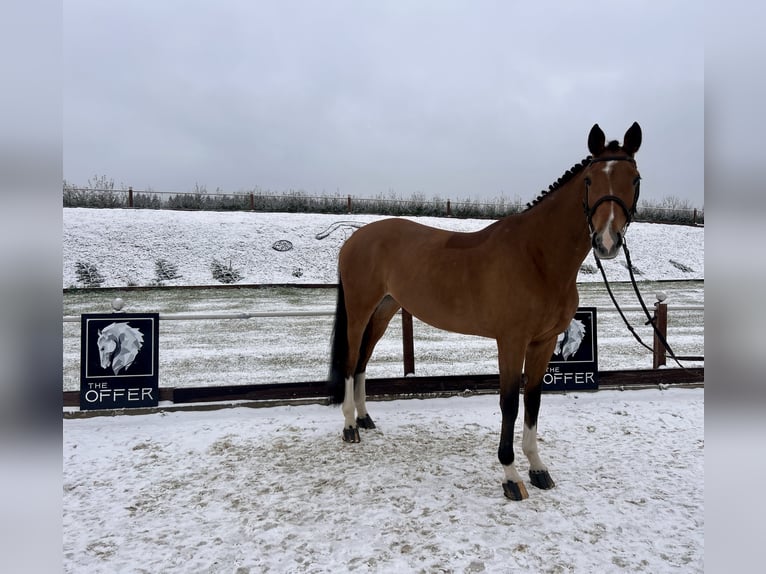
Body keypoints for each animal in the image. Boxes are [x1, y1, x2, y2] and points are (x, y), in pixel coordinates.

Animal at [328, 124, 640, 502]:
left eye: (635, 179)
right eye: (590, 180)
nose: (606, 241)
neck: (537, 256)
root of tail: (355, 238)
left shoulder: (543, 343)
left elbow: (533, 400)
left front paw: (538, 469)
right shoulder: (511, 342)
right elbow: (510, 403)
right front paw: (511, 476)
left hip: (385, 310)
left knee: (362, 361)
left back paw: (364, 419)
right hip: (360, 310)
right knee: (350, 360)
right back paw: (349, 426)